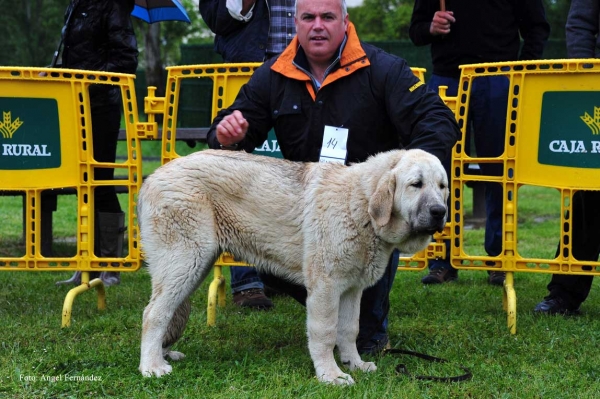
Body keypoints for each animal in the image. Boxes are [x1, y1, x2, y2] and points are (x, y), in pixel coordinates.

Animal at [138, 148, 448, 386]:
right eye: (416, 184)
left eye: (442, 186)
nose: (440, 212)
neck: (360, 202)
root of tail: (152, 177)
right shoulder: (325, 287)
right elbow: (325, 333)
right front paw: (331, 375)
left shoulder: (351, 289)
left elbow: (349, 330)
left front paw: (355, 364)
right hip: (185, 262)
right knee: (153, 313)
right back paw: (151, 366)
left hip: (194, 268)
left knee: (166, 312)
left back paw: (162, 355)